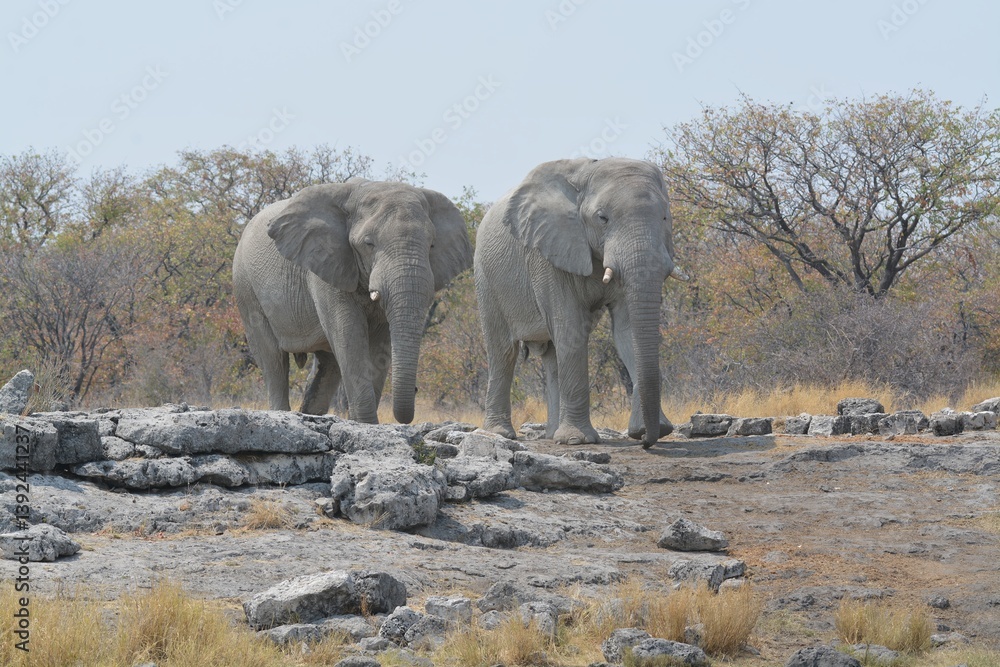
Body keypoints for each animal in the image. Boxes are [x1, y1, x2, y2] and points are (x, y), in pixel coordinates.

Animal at [232, 179, 472, 424]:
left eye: (432, 244)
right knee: (273, 359)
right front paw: (366, 423)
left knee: (328, 367)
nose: (415, 389)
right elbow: (349, 334)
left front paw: (363, 424)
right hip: (245, 287)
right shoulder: (326, 263)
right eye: (368, 243)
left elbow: (380, 343)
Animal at [474, 157, 686, 447]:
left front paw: (654, 429)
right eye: (602, 218)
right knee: (503, 350)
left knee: (551, 356)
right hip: (485, 277)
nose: (644, 440)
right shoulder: (548, 253)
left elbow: (627, 330)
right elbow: (570, 327)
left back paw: (552, 434)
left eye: (665, 217)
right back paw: (500, 433)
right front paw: (578, 440)